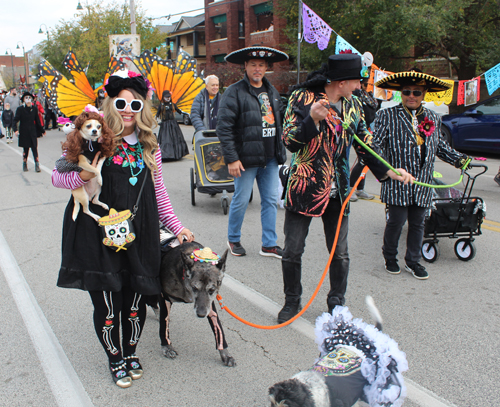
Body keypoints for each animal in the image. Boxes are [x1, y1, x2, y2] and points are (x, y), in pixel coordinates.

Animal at [156, 231, 234, 368]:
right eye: (194, 287)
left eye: (212, 290)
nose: (201, 314)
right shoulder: (164, 297)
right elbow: (163, 325)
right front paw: (167, 347)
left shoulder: (209, 306)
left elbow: (218, 328)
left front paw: (225, 353)